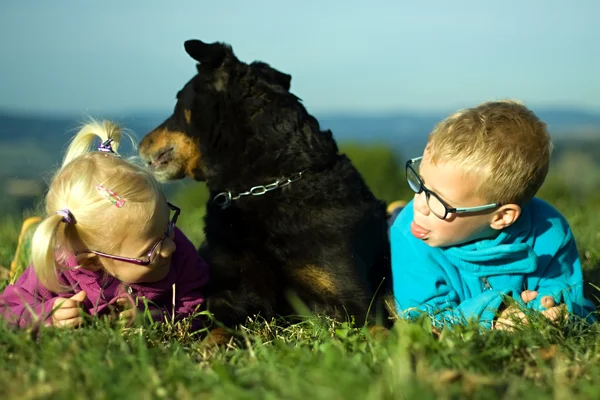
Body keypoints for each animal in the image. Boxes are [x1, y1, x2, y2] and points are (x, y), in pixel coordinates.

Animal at [140, 39, 394, 334]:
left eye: (178, 100)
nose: (141, 142)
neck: (270, 184)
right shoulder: (230, 292)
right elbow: (217, 329)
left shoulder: (354, 299)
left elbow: (376, 329)